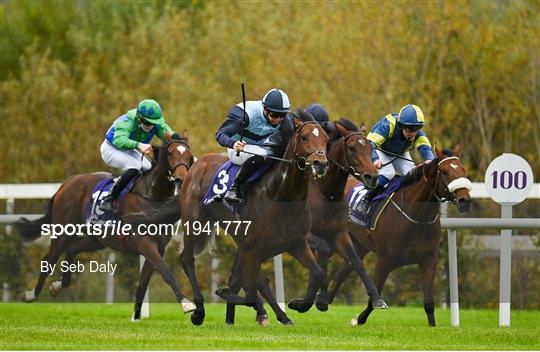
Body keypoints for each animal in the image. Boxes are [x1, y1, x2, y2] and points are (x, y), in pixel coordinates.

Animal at [13, 133, 196, 320]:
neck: (151, 195)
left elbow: (143, 284)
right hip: (63, 232)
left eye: (189, 155)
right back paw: (31, 294)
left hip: (97, 239)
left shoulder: (159, 246)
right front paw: (187, 304)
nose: (182, 178)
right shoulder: (144, 243)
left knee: (72, 250)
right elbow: (166, 272)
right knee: (49, 259)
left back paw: (57, 286)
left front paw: (136, 317)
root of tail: (65, 184)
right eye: (170, 153)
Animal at [179, 109, 330, 324]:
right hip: (194, 223)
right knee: (187, 260)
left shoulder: (296, 242)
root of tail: (197, 163)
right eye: (304, 137)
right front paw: (224, 293)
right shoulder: (253, 250)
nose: (320, 164)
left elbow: (317, 273)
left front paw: (298, 304)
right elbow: (250, 291)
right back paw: (198, 311)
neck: (282, 195)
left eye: (326, 139)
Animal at [324, 144, 468, 326]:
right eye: (444, 171)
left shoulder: (429, 260)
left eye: (463, 169)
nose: (464, 199)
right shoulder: (384, 260)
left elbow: (429, 302)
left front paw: (433, 327)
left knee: (343, 271)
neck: (416, 217)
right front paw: (358, 320)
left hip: (358, 244)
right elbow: (373, 299)